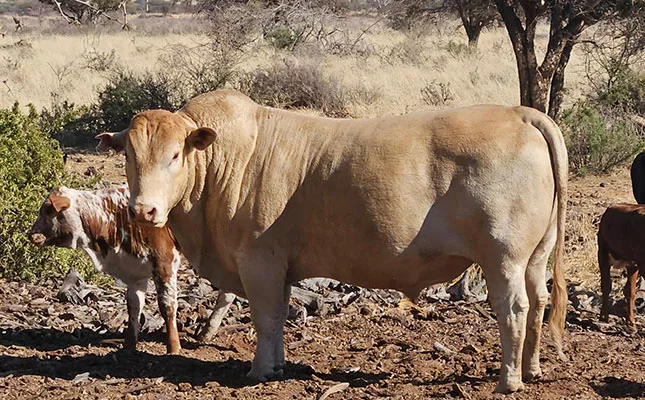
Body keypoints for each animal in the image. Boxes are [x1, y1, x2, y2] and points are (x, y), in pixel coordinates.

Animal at [28, 186, 235, 353]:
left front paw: (173, 347)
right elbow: (134, 307)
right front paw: (129, 345)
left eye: (47, 211)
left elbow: (167, 306)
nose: (31, 235)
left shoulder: (165, 263)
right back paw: (207, 333)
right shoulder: (136, 272)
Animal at [96, 89, 567, 393]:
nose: (143, 210)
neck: (221, 164)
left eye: (175, 155)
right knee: (539, 299)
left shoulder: (259, 259)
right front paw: (277, 365)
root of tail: (520, 113)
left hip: (503, 255)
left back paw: (508, 379)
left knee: (514, 308)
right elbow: (280, 316)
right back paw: (532, 368)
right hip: (535, 255)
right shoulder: (281, 265)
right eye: (130, 156)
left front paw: (259, 371)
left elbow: (266, 317)